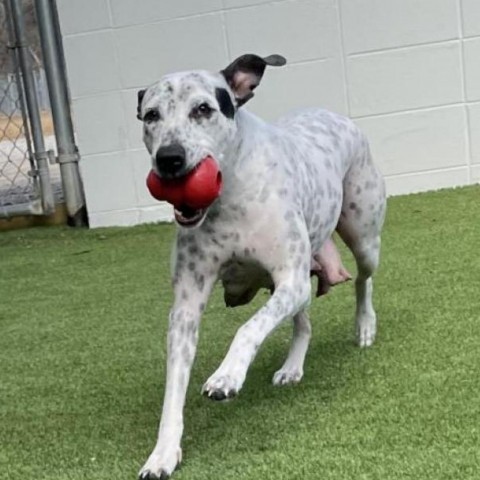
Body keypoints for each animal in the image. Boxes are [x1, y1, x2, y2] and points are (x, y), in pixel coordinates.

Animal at [135, 53, 386, 480]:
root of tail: (333, 114)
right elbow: (174, 390)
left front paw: (226, 375)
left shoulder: (290, 279)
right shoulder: (185, 307)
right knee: (303, 321)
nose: (168, 158)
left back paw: (364, 325)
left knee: (363, 280)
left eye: (203, 109)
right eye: (151, 115)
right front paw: (163, 453)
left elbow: (247, 328)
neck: (228, 196)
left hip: (362, 234)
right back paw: (293, 367)